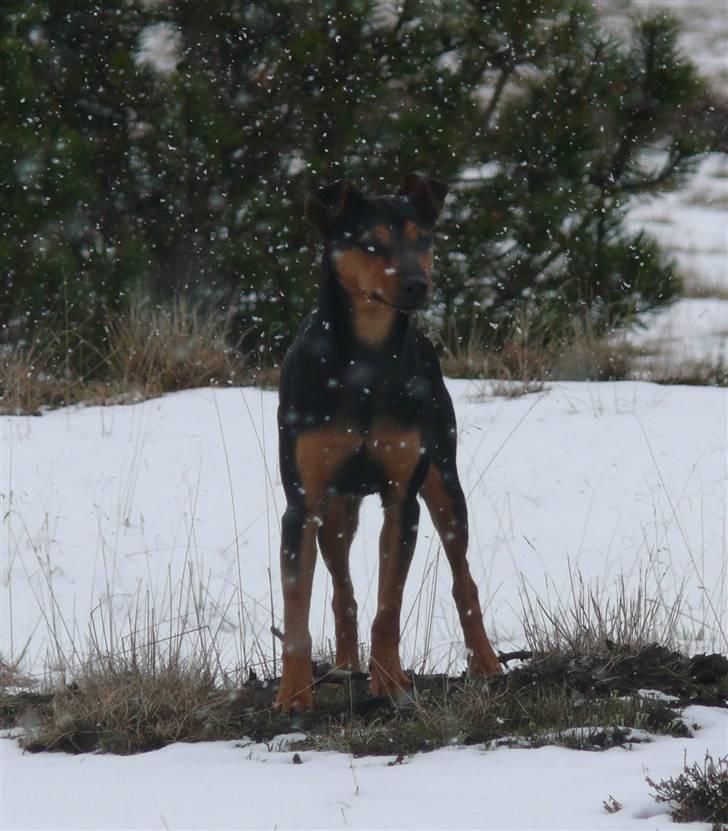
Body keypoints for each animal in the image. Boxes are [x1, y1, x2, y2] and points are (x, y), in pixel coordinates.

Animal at [274, 172, 500, 712]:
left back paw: (485, 663)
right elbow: (297, 611)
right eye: (370, 244)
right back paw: (343, 667)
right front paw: (293, 696)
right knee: (342, 591)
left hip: (443, 478)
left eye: (425, 241)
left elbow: (390, 604)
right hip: (335, 510)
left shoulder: (403, 498)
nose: (418, 284)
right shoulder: (302, 503)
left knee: (463, 577)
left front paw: (391, 682)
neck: (366, 361)